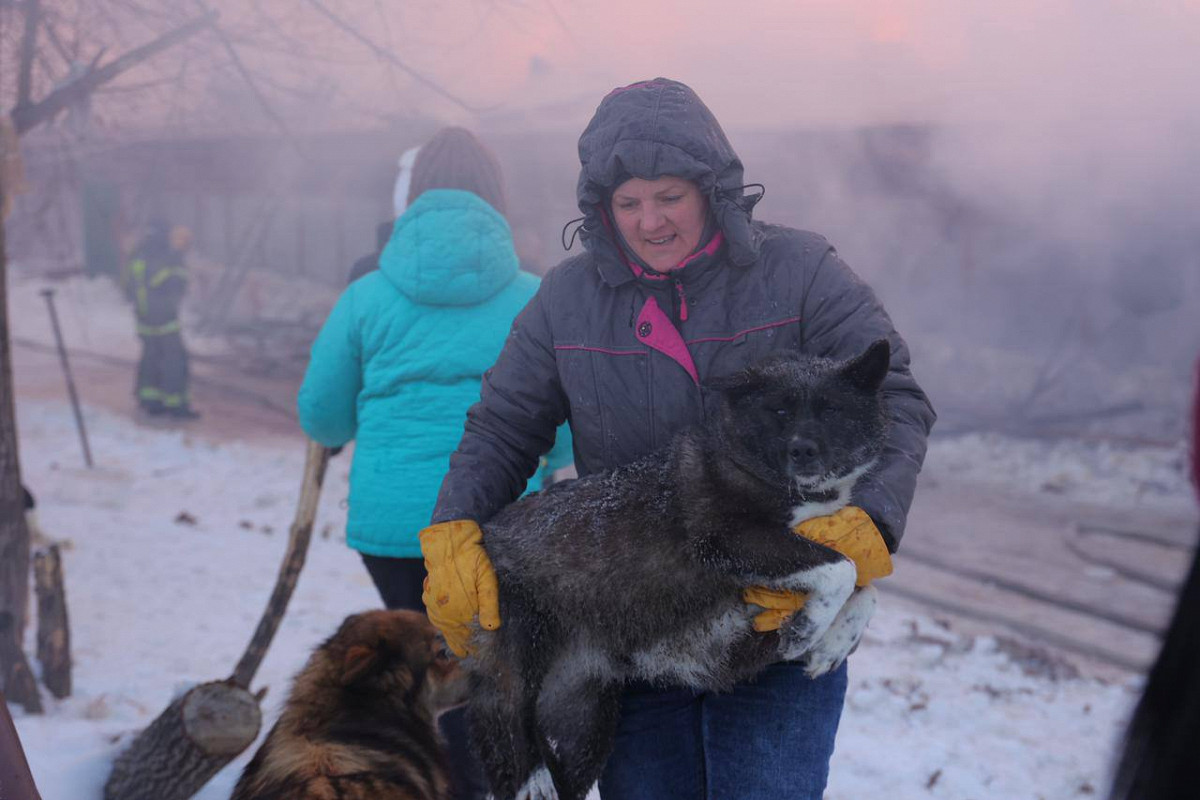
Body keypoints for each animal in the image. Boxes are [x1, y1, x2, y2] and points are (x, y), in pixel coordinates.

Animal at [468, 340, 892, 800]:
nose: (803, 450)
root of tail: (487, 533)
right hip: (520, 650)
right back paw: (532, 775)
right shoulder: (727, 540)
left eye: (831, 409)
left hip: (585, 721)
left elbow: (865, 583)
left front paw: (833, 641)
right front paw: (812, 626)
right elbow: (842, 569)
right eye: (779, 410)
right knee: (509, 720)